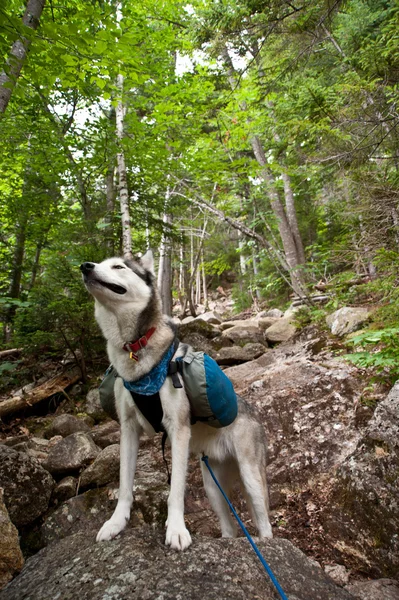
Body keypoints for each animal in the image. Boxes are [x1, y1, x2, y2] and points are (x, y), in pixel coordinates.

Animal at [82, 251, 276, 552]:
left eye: (118, 266)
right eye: (99, 263)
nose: (85, 267)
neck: (135, 348)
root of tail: (253, 411)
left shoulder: (178, 431)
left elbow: (175, 492)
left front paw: (176, 530)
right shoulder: (128, 430)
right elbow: (125, 485)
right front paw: (116, 523)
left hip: (251, 478)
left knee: (264, 523)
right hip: (212, 486)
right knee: (229, 526)